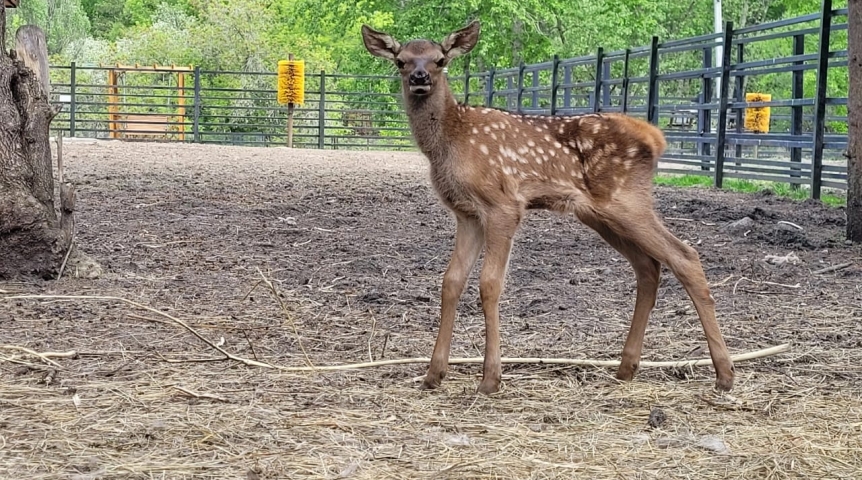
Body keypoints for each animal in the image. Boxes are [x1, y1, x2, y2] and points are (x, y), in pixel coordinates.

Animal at [361, 21, 735, 395]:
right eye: (401, 61)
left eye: (440, 60)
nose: (420, 77)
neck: (450, 144)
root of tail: (656, 139)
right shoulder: (466, 214)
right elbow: (451, 281)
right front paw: (434, 373)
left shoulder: (503, 204)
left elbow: (489, 284)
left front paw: (490, 378)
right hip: (599, 213)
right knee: (648, 266)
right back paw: (627, 367)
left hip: (626, 200)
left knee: (684, 256)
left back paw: (725, 373)